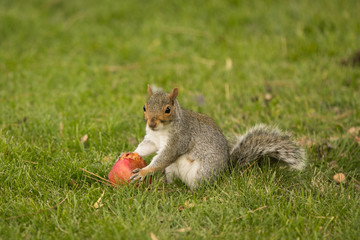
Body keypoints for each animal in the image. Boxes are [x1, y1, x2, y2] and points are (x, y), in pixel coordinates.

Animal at [128, 86, 306, 189]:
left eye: (167, 109)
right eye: (144, 107)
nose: (151, 123)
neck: (161, 131)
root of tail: (225, 171)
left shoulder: (179, 140)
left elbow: (165, 156)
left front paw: (144, 171)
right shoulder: (152, 138)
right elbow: (146, 147)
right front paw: (131, 154)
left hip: (203, 172)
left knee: (199, 187)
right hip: (172, 170)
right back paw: (168, 184)